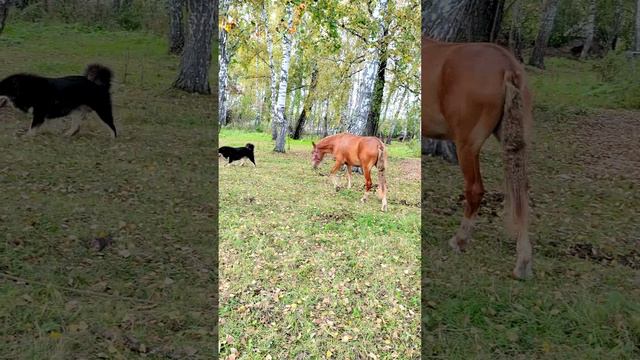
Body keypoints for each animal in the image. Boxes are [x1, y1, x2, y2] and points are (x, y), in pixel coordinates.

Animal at [424, 37, 536, 278]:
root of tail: (507, 65)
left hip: (467, 146)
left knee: (475, 189)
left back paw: (460, 240)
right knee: (521, 189)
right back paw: (523, 261)